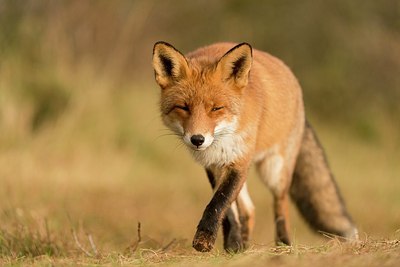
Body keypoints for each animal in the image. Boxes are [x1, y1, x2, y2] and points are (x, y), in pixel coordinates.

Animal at [152, 42, 358, 253]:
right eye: (183, 107)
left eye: (216, 108)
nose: (197, 139)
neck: (223, 138)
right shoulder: (214, 165)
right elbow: (228, 210)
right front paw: (231, 244)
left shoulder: (240, 161)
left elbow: (219, 202)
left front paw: (205, 238)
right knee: (250, 210)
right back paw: (242, 246)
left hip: (274, 171)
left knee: (281, 204)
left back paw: (283, 245)